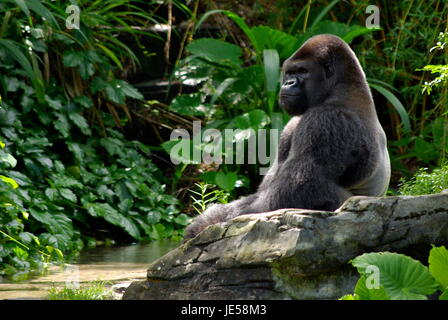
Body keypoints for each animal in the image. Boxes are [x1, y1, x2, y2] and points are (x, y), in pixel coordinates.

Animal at [184, 34, 390, 240]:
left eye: (303, 71)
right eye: (290, 72)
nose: (288, 83)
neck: (343, 86)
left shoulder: (327, 120)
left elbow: (296, 188)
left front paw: (211, 222)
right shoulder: (293, 124)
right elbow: (266, 189)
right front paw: (210, 218)